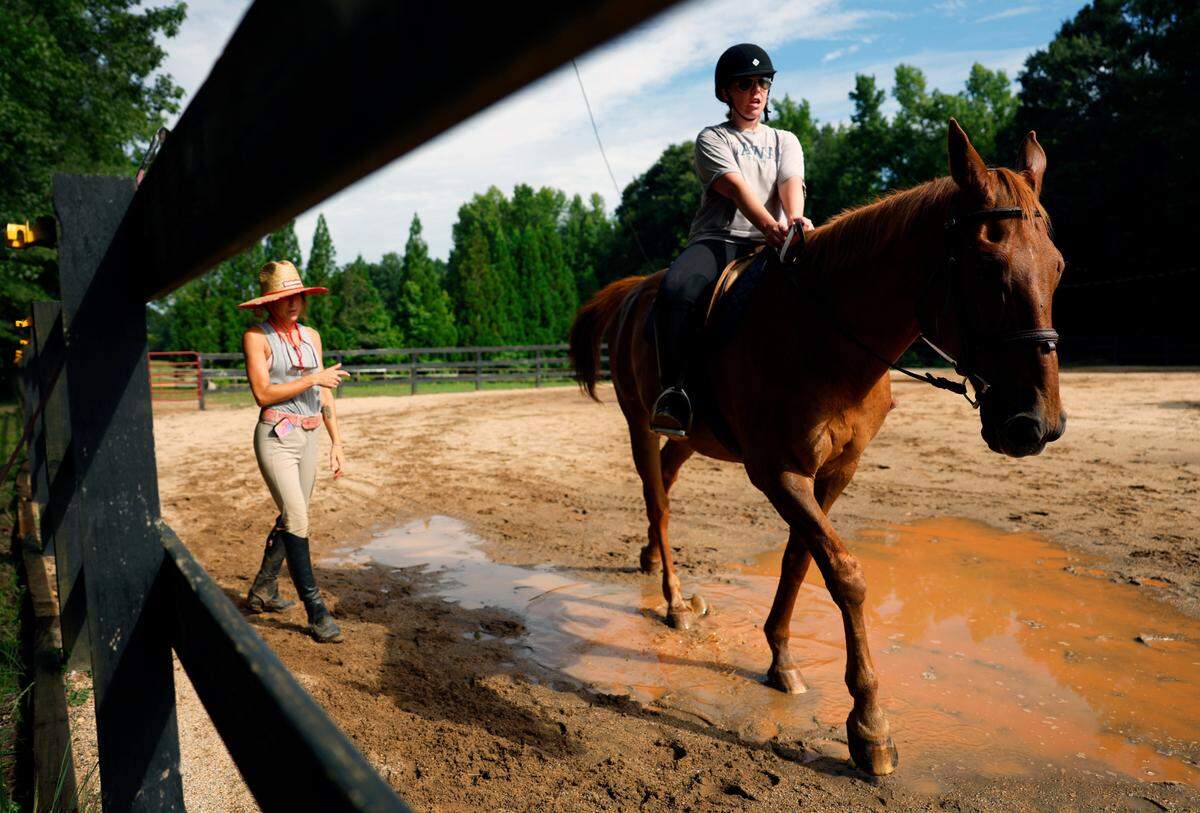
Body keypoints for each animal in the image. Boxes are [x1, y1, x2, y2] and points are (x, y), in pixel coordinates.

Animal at [567, 120, 1066, 776]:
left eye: (1058, 267)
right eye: (987, 265)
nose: (1036, 424)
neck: (824, 336)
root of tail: (636, 292)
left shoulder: (835, 472)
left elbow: (801, 561)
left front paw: (781, 659)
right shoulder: (777, 472)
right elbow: (844, 573)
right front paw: (870, 725)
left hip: (691, 437)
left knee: (667, 489)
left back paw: (653, 562)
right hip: (640, 425)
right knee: (659, 501)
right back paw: (673, 600)